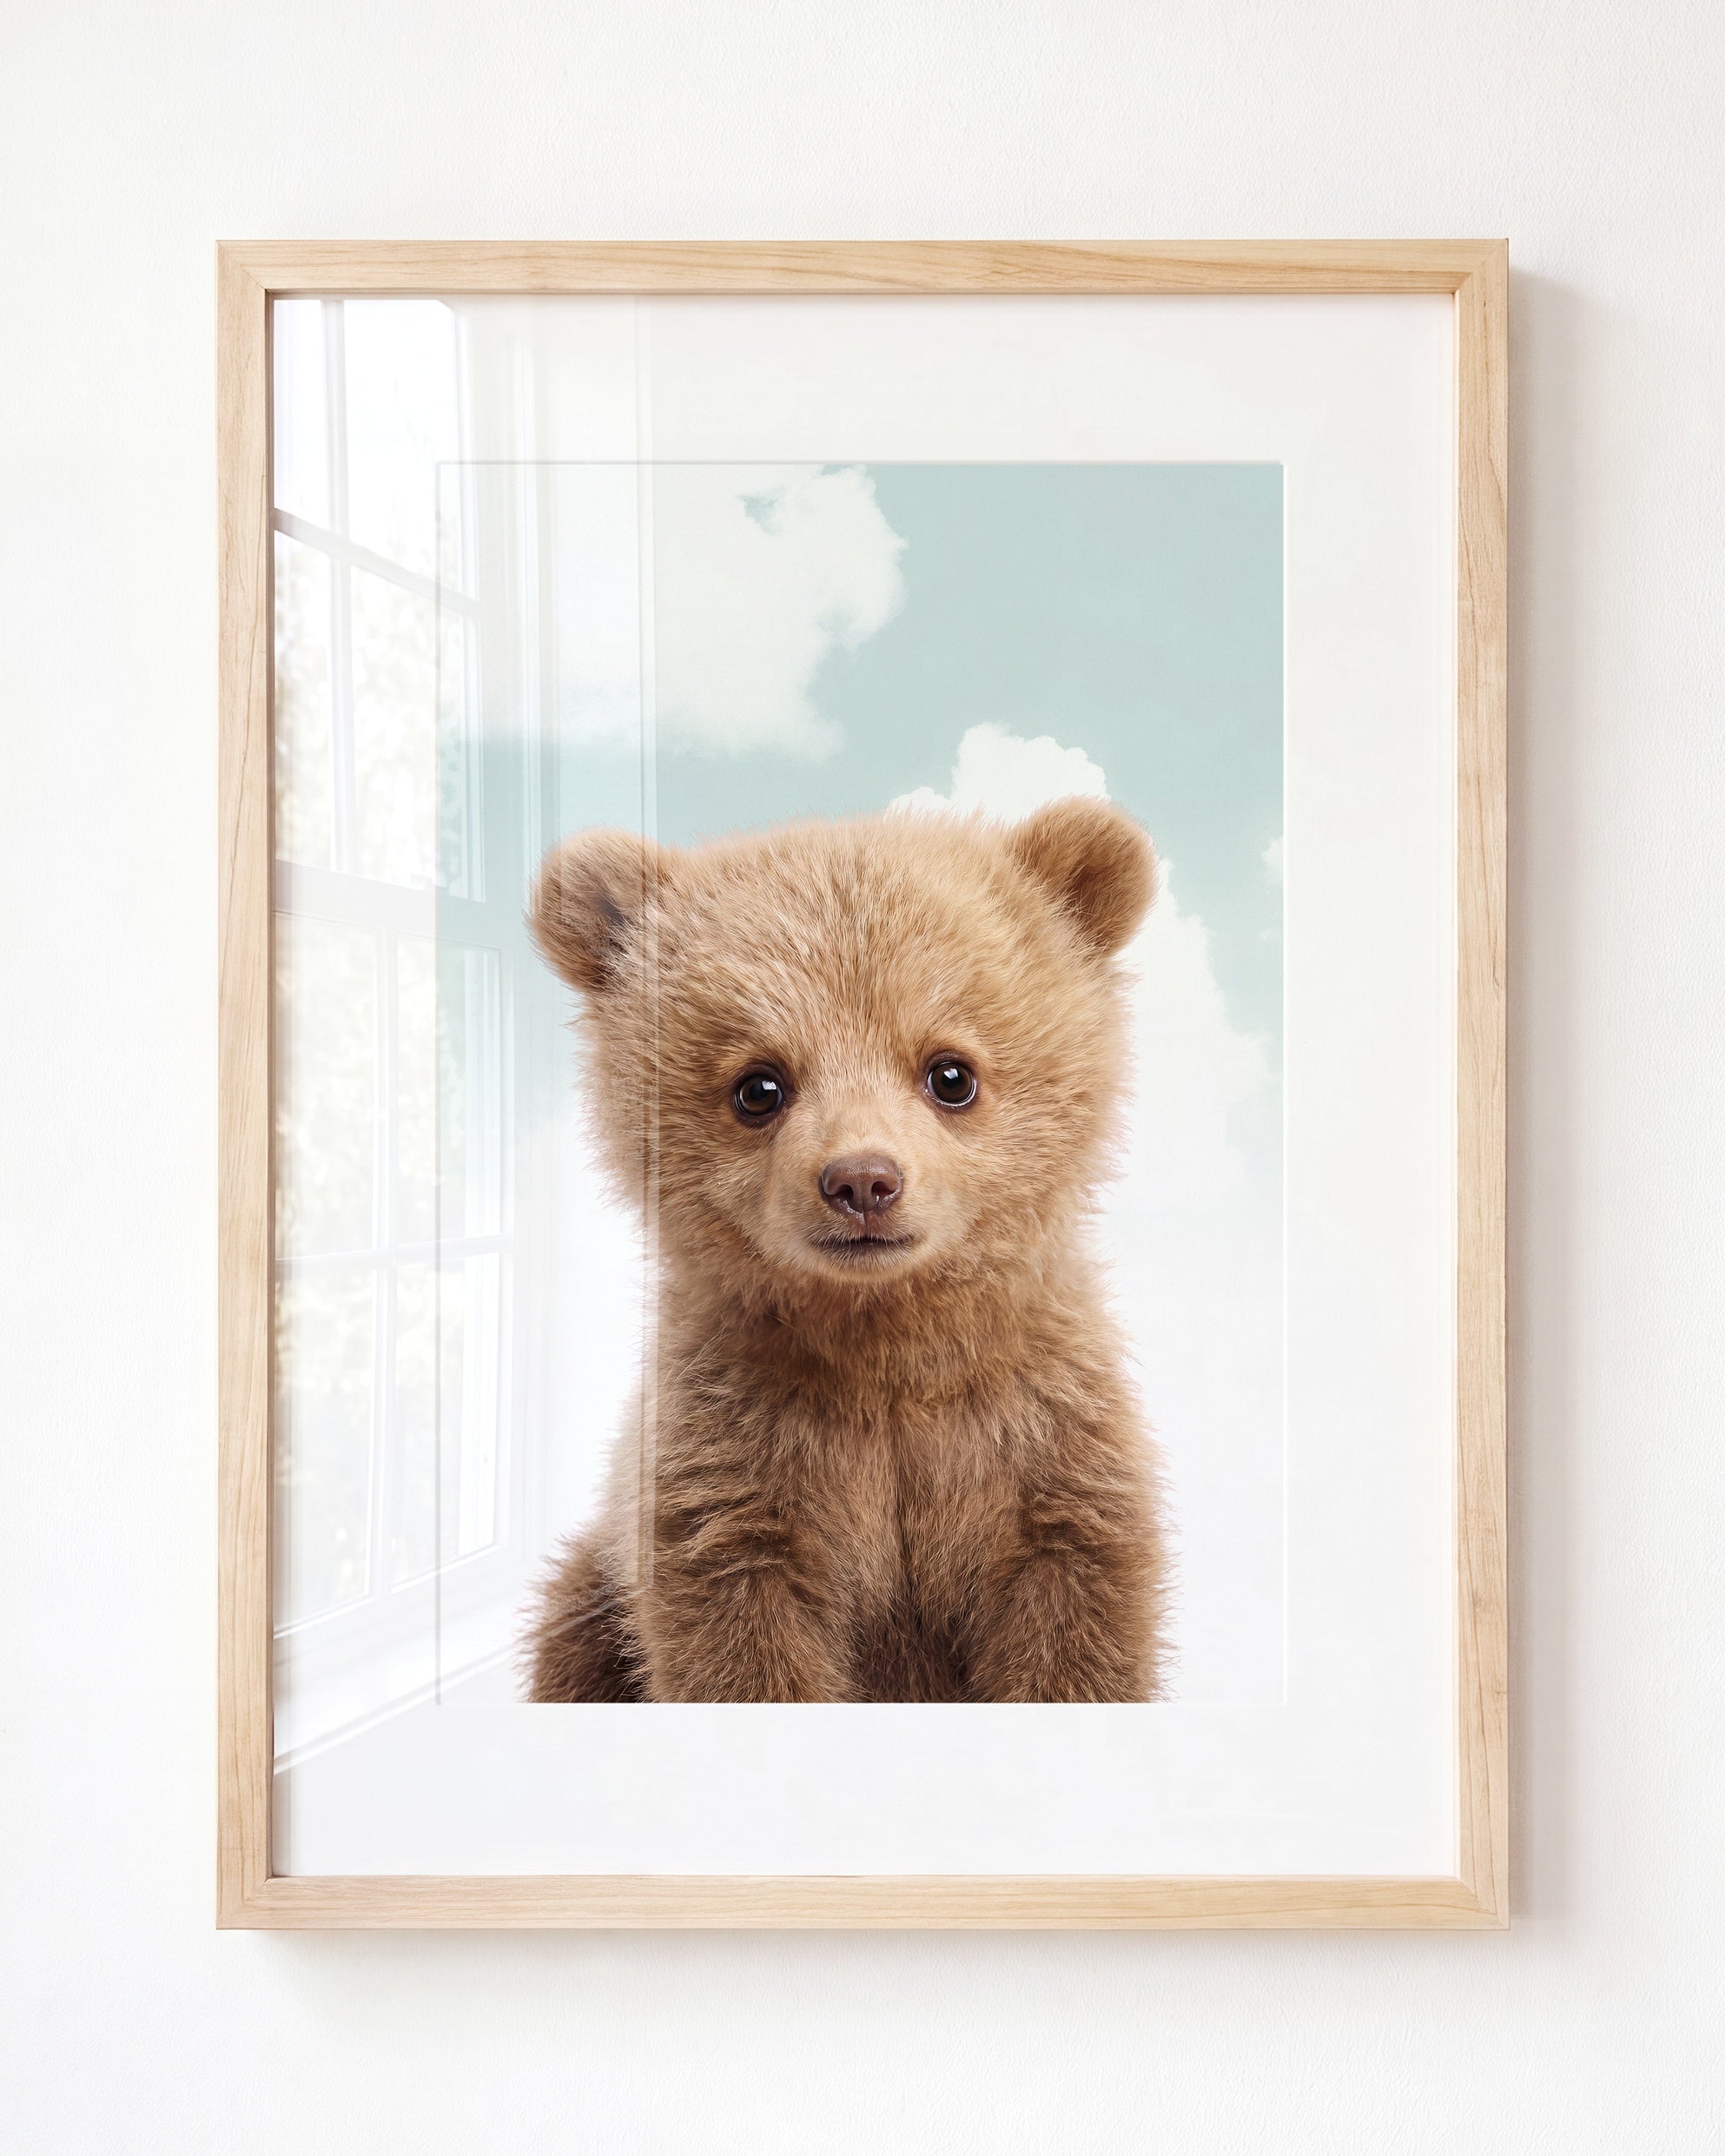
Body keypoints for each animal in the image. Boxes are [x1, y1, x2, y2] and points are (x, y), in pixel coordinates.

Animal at [521, 796, 1172, 1703]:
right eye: (759, 1086)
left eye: (951, 1073)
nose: (863, 1180)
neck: (884, 1349)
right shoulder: (736, 1475)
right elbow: (741, 1646)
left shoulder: (1042, 1452)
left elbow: (1074, 1632)